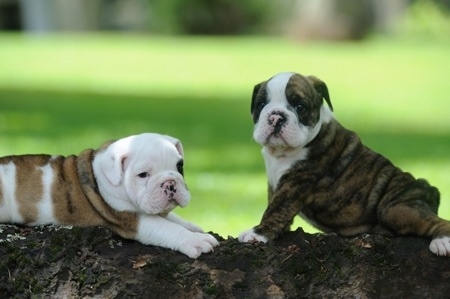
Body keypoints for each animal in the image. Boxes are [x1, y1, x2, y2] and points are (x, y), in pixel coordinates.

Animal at [0, 134, 218, 260]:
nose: (170, 183)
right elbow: (167, 228)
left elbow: (173, 218)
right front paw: (195, 240)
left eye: (179, 167)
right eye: (143, 175)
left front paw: (193, 228)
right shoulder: (132, 219)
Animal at [237, 72, 448, 258]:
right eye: (261, 104)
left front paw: (258, 233)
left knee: (439, 222)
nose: (275, 117)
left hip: (396, 209)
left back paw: (443, 241)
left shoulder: (295, 184)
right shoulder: (275, 184)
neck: (281, 153)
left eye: (300, 106)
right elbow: (276, 207)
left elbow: (275, 210)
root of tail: (428, 189)